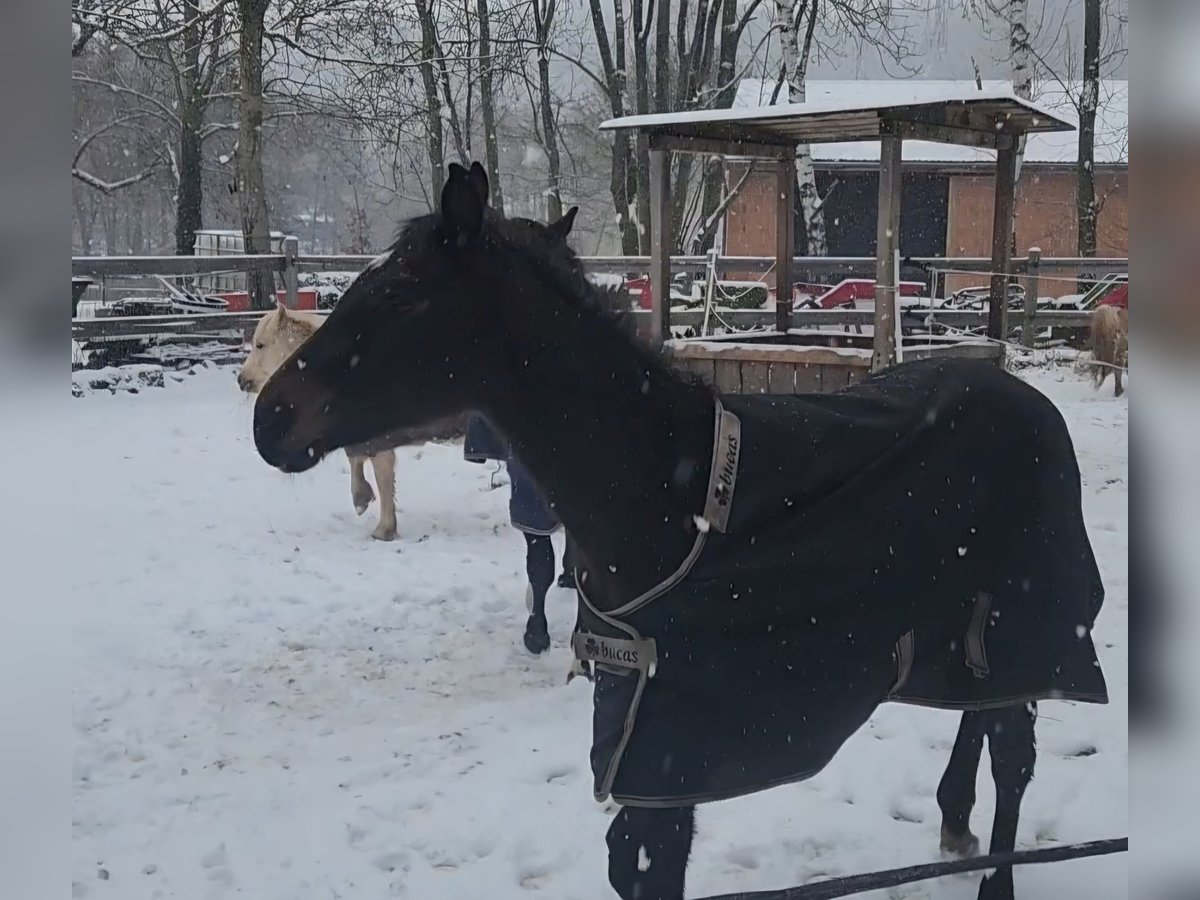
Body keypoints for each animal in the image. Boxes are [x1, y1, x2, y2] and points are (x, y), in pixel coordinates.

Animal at [250, 164, 1104, 900]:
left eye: (400, 294)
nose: (270, 419)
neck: (666, 492)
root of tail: (1025, 397)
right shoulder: (634, 736)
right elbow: (627, 865)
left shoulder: (668, 752)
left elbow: (653, 865)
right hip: (962, 626)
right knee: (981, 712)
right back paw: (954, 821)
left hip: (1030, 620)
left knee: (1014, 756)